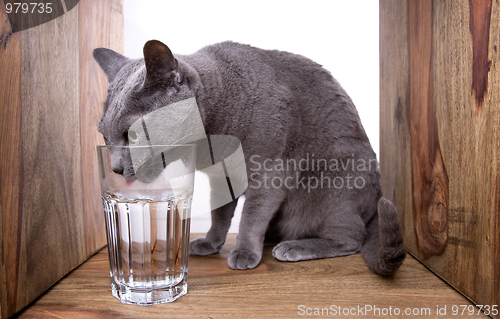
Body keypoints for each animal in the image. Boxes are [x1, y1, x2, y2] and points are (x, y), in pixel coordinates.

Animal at [94, 39, 406, 276]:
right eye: (104, 135)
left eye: (133, 135)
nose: (116, 168)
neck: (210, 141)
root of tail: (375, 200)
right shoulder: (222, 177)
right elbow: (220, 213)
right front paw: (211, 243)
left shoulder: (270, 171)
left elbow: (251, 215)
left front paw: (243, 251)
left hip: (332, 187)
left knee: (351, 238)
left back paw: (295, 246)